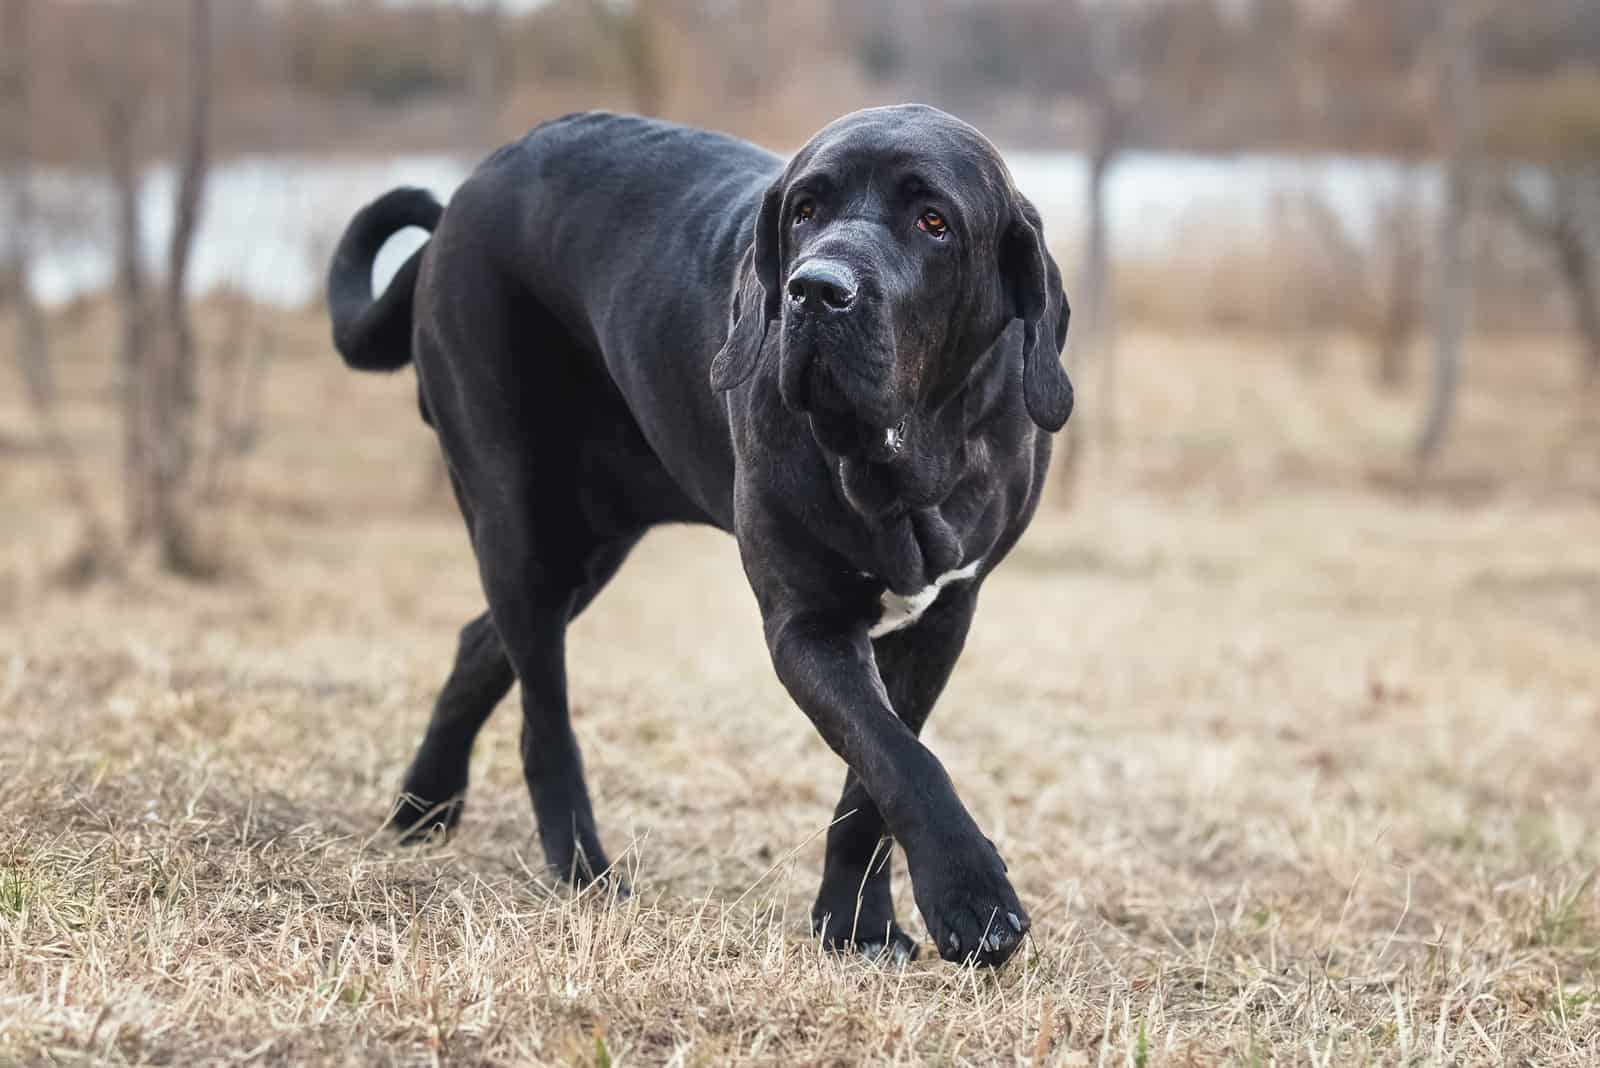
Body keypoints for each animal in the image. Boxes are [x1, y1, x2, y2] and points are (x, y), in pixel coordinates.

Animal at [329, 108, 1068, 965]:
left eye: (934, 221)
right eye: (805, 211)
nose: (816, 290)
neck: (901, 464)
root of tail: (462, 199)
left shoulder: (942, 617)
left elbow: (872, 781)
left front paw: (858, 925)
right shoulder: (807, 625)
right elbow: (898, 758)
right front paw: (972, 898)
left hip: (591, 542)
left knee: (481, 642)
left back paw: (426, 805)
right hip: (518, 518)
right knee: (543, 718)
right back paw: (584, 871)